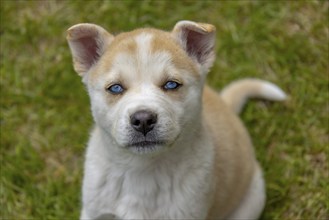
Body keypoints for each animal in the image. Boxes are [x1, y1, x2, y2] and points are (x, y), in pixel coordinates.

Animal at [66, 19, 284, 219]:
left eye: (171, 84)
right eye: (116, 88)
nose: (143, 120)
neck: (142, 170)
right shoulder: (94, 212)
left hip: (252, 199)